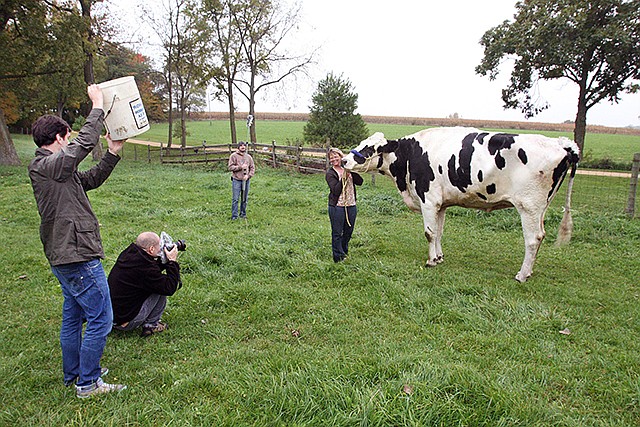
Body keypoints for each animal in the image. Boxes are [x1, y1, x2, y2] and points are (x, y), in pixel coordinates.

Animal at [342, 127, 584, 282]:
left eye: (369, 148)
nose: (344, 160)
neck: (409, 156)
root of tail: (562, 144)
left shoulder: (428, 199)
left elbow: (429, 233)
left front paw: (430, 261)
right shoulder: (441, 204)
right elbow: (439, 232)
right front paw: (439, 257)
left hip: (529, 206)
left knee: (533, 239)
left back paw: (522, 275)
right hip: (541, 207)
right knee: (540, 236)